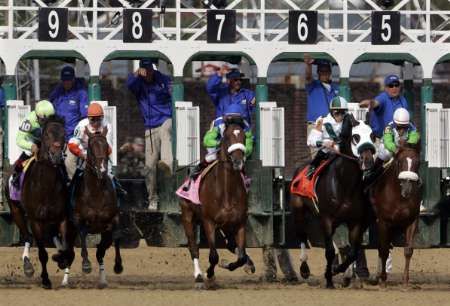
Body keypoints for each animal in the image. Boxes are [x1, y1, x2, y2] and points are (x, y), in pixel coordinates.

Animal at [5, 115, 74, 290]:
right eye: (47, 134)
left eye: (64, 134)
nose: (56, 156)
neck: (46, 185)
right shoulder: (35, 220)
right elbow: (43, 253)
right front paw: (46, 280)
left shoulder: (62, 217)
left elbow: (67, 250)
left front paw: (61, 259)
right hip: (16, 211)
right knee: (28, 237)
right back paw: (28, 266)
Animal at [180, 119, 256, 290]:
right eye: (226, 137)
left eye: (243, 137)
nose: (237, 161)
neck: (226, 192)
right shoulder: (208, 222)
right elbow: (214, 255)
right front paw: (209, 275)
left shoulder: (239, 223)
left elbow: (240, 256)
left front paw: (229, 264)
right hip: (188, 216)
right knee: (193, 247)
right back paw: (198, 276)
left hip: (226, 226)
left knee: (232, 246)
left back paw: (249, 264)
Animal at [370, 145, 422, 286]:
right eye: (399, 162)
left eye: (418, 163)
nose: (407, 189)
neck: (399, 197)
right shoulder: (383, 222)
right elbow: (384, 250)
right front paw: (383, 279)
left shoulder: (412, 221)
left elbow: (408, 250)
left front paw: (405, 280)